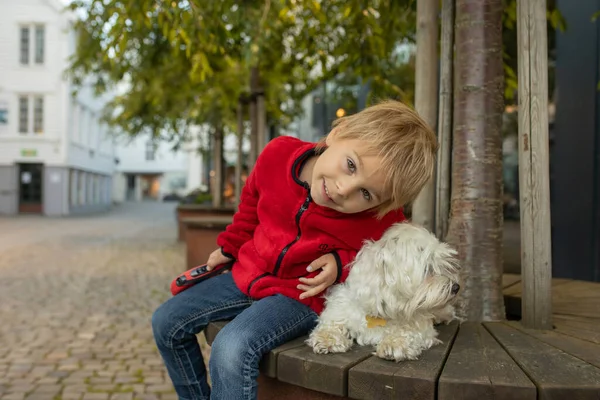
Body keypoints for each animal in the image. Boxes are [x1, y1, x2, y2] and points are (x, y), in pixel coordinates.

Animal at [308, 222, 462, 362]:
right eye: (427, 268)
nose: (456, 287)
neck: (381, 311)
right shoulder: (339, 309)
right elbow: (331, 325)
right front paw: (326, 339)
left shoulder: (421, 327)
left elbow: (408, 332)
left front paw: (394, 343)